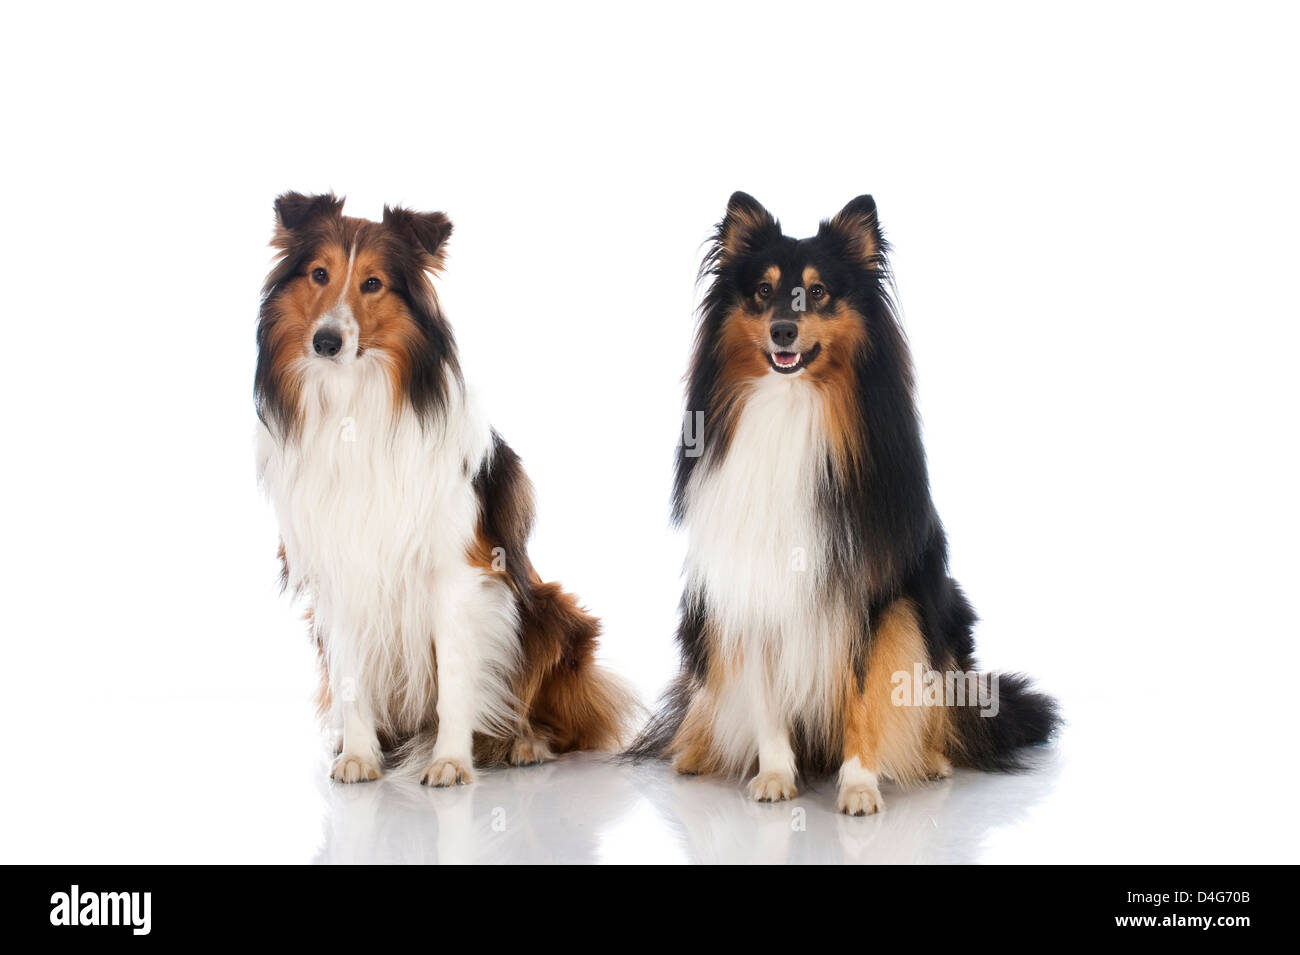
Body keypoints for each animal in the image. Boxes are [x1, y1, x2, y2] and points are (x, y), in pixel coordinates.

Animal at [254, 192, 634, 784]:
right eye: (319, 274)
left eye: (373, 283)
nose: (326, 342)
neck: (353, 401)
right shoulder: (340, 573)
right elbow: (352, 677)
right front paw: (359, 755)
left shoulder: (459, 572)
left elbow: (456, 679)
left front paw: (452, 760)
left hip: (548, 611)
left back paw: (523, 743)